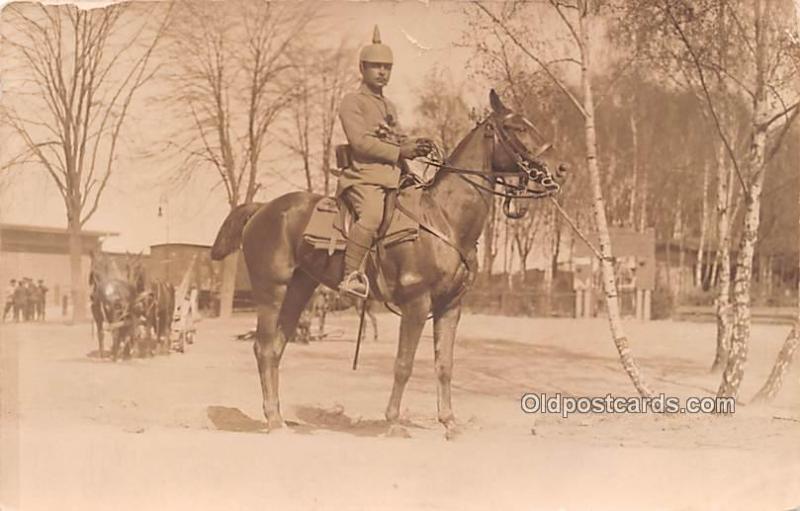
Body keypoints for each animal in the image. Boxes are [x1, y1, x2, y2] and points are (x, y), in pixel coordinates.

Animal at [209, 92, 564, 440]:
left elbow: (444, 365)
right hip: (272, 292)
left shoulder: (450, 306)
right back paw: (273, 420)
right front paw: (392, 422)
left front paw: (449, 422)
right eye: (517, 127)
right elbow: (403, 365)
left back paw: (279, 417)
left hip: (299, 290)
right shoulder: (417, 304)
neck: (444, 218)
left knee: (276, 348)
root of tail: (261, 209)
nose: (560, 168)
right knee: (263, 348)